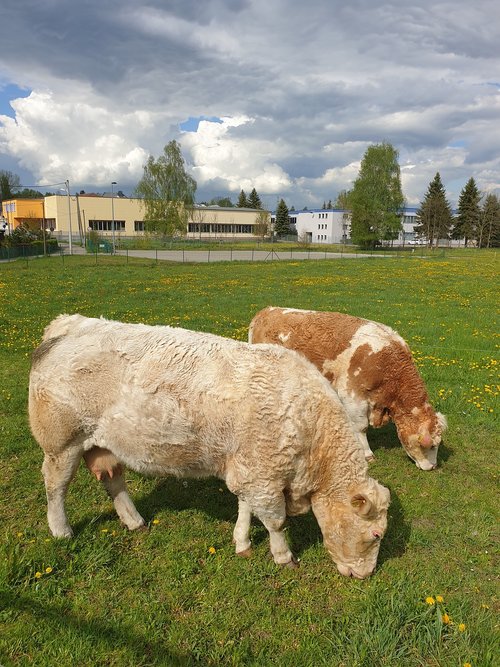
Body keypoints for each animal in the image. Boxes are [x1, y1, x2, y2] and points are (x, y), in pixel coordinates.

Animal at [29, 316, 392, 576]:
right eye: (375, 535)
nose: (366, 575)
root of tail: (66, 324)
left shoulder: (249, 470)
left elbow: (245, 508)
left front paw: (242, 542)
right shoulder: (263, 477)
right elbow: (275, 520)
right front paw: (283, 555)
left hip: (102, 443)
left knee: (113, 480)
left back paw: (134, 520)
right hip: (61, 442)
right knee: (55, 486)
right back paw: (61, 530)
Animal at [248, 308, 448, 470]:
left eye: (438, 445)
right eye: (430, 446)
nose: (432, 467)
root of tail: (266, 311)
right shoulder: (353, 395)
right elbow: (361, 427)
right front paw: (367, 454)